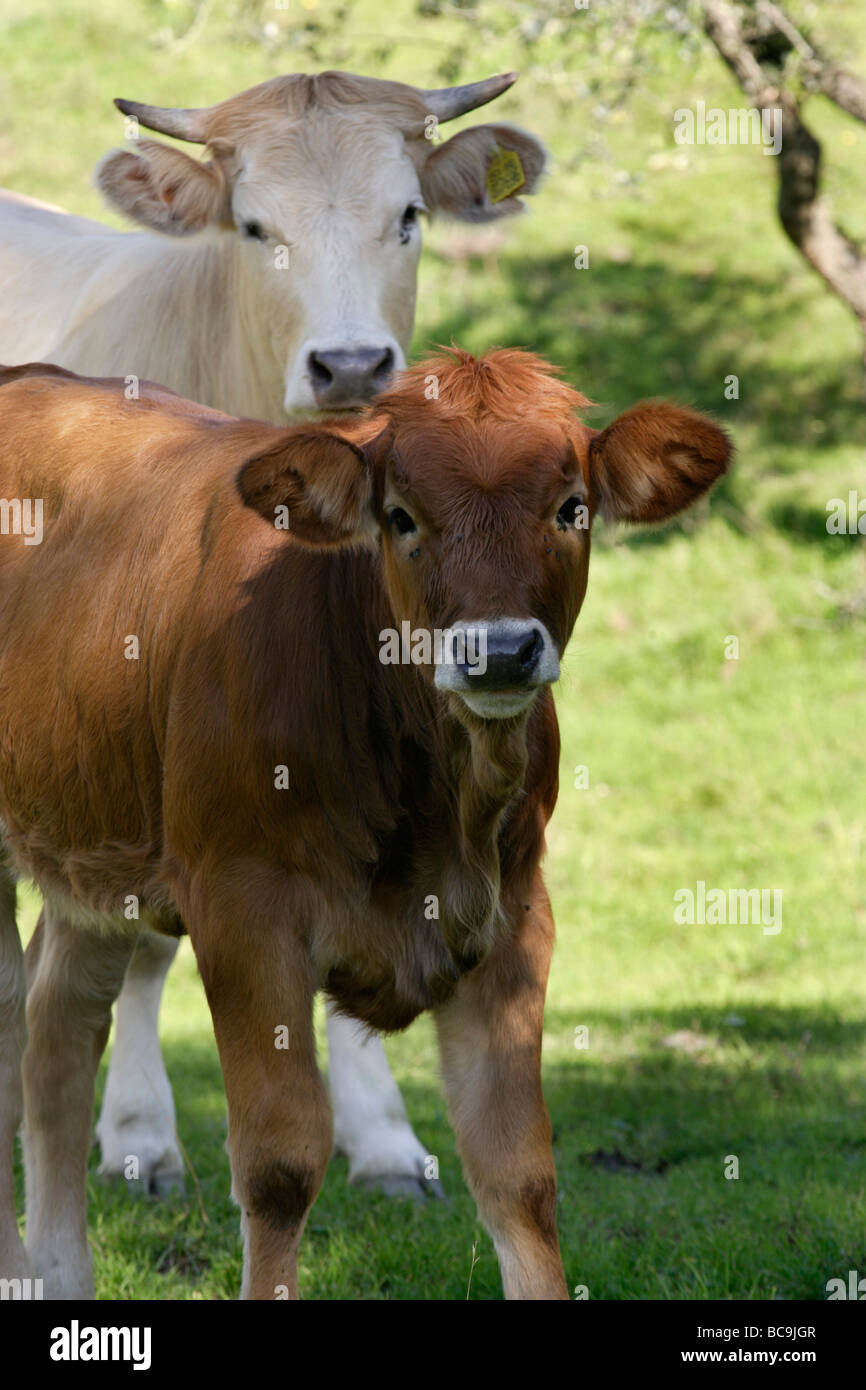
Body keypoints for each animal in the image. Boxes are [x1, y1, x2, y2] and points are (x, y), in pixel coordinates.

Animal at [0, 69, 548, 1200]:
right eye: (254, 227)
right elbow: (146, 946)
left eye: (408, 215)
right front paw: (140, 1135)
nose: (350, 362)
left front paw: (382, 1138)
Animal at [0, 348, 730, 1299]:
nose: (498, 650)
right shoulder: (242, 909)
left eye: (572, 507)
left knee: (60, 1026)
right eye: (401, 515)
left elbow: (518, 1173)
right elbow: (279, 1164)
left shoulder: (516, 915)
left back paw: (58, 1276)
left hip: (93, 839)